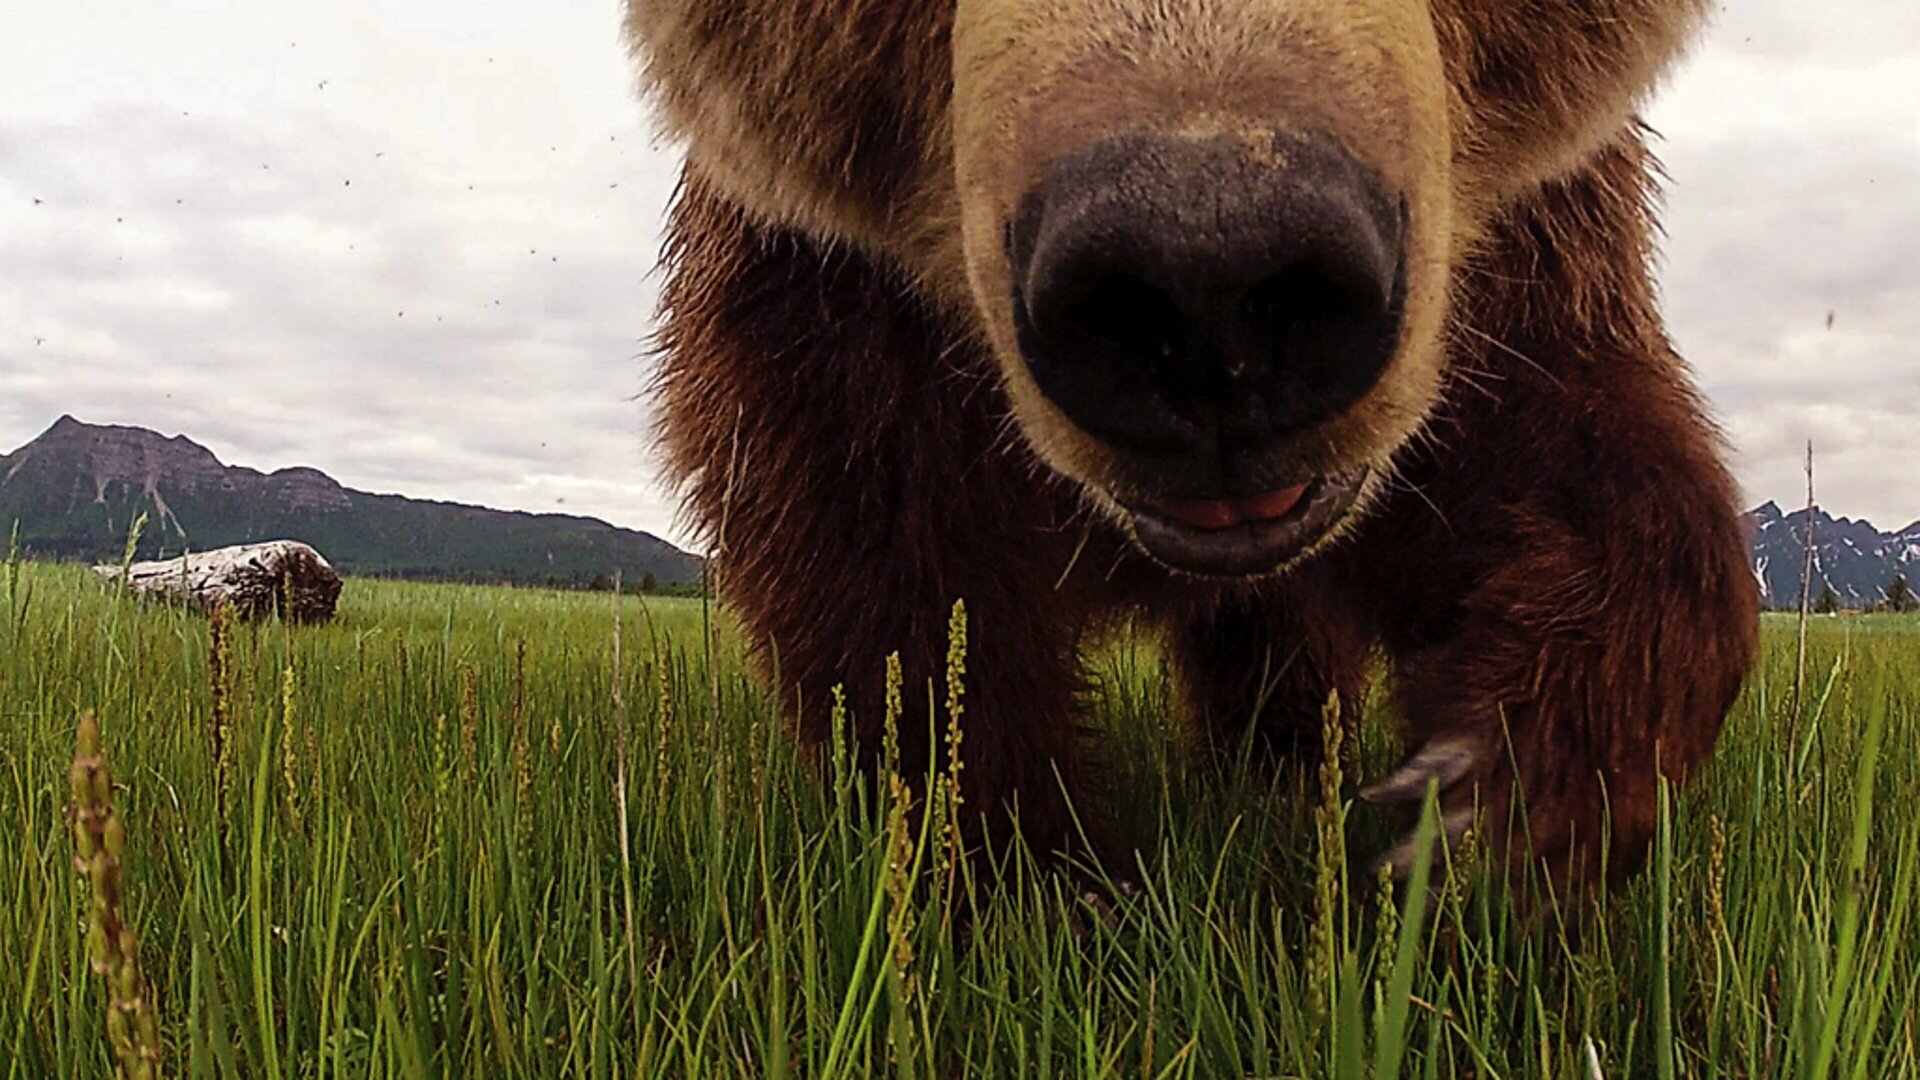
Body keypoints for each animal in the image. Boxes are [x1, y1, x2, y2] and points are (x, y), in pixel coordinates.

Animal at [622, 0, 1759, 888]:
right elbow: (899, 588)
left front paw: (1493, 785)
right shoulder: (826, 303)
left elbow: (1572, 460)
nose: (1207, 268)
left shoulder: (1513, 269)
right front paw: (1028, 872)